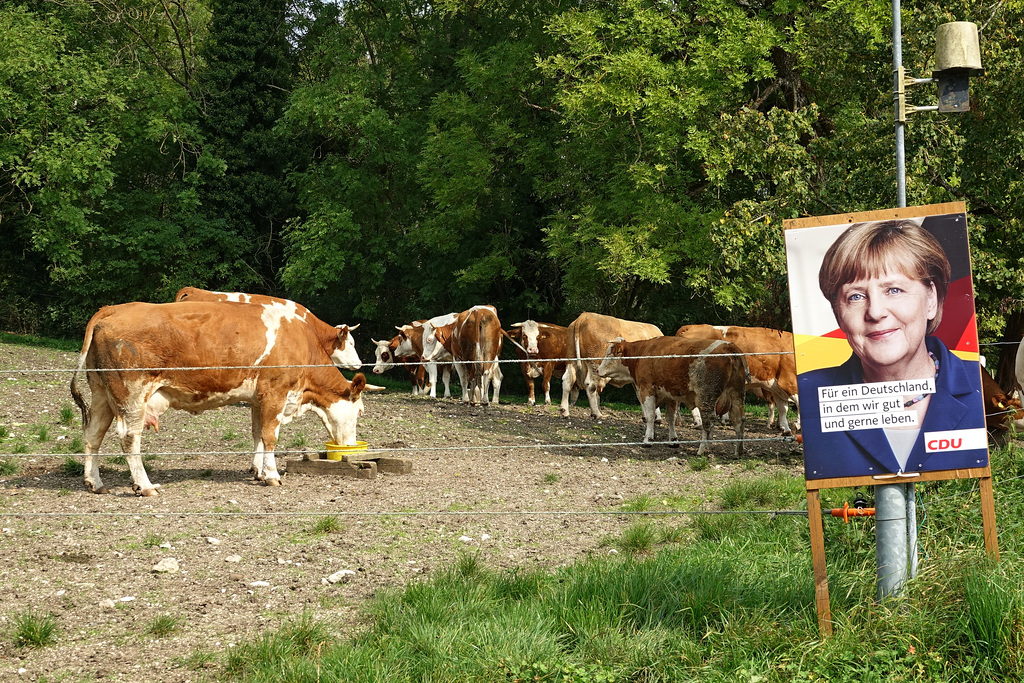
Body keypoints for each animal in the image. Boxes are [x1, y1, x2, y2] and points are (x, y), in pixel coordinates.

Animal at [69, 301, 372, 497]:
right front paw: (272, 476)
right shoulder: (276, 393)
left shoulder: (259, 398)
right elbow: (270, 436)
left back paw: (94, 482)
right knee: (130, 438)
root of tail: (112, 309)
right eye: (359, 413)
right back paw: (145, 485)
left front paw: (259, 471)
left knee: (93, 434)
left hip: (101, 393)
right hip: (132, 394)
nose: (350, 447)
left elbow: (258, 433)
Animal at [598, 335, 749, 458]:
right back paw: (738, 451)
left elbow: (650, 416)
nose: (598, 370)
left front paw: (648, 439)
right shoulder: (670, 395)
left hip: (706, 397)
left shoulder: (646, 389)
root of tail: (729, 346)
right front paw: (673, 440)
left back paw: (701, 450)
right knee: (739, 419)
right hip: (736, 394)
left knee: (708, 421)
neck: (641, 354)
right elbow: (671, 417)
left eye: (609, 353)